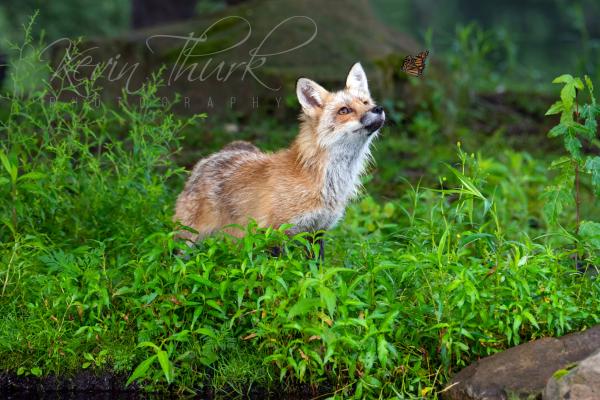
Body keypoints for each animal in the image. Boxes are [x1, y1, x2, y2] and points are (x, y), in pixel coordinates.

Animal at [176, 63, 386, 247]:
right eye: (344, 110)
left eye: (365, 102)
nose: (378, 109)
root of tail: (215, 155)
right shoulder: (275, 232)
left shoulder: (317, 231)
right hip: (188, 239)